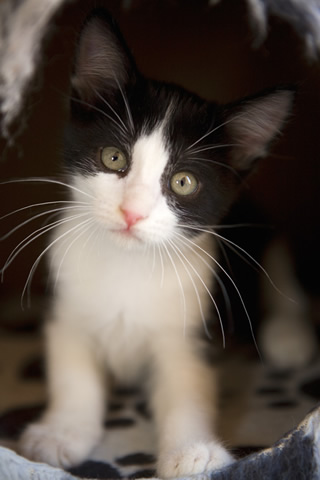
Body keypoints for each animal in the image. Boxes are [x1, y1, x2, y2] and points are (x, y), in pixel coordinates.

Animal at [18, 9, 294, 478]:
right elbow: (73, 372)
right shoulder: (67, 304)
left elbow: (188, 386)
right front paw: (59, 434)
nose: (132, 212)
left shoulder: (191, 327)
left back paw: (288, 336)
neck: (129, 266)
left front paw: (194, 451)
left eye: (183, 182)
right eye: (113, 157)